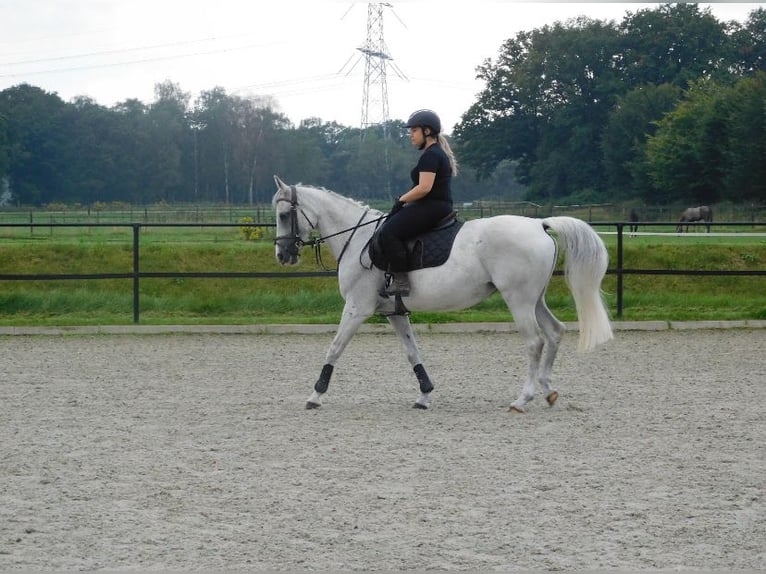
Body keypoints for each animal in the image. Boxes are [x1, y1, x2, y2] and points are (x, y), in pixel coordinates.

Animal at [272, 177, 616, 414]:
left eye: (285, 215)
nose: (282, 255)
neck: (359, 238)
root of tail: (538, 224)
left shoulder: (357, 308)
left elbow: (334, 348)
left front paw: (315, 395)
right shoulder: (394, 312)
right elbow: (412, 352)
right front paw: (424, 395)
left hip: (518, 300)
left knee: (535, 342)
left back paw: (523, 398)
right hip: (535, 299)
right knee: (556, 332)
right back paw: (548, 391)